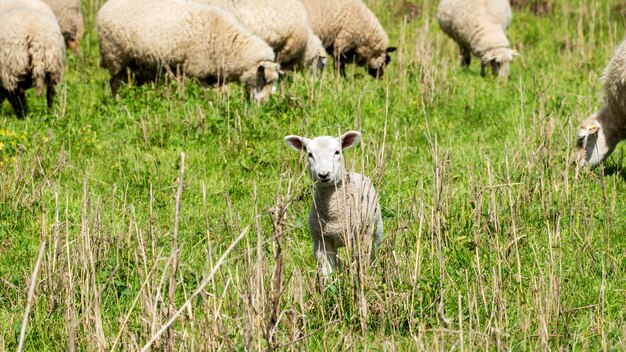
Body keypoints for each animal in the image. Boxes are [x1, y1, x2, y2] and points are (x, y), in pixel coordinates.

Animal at [95, 0, 280, 102]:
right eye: (263, 79)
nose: (263, 105)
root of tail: (106, 6)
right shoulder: (193, 70)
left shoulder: (210, 75)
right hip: (115, 56)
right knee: (114, 83)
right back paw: (117, 101)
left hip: (135, 61)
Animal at [282, 131, 380, 282]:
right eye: (310, 154)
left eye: (337, 152)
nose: (324, 175)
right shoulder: (321, 241)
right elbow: (326, 271)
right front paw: (330, 286)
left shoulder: (361, 236)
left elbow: (360, 261)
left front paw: (360, 280)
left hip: (375, 228)